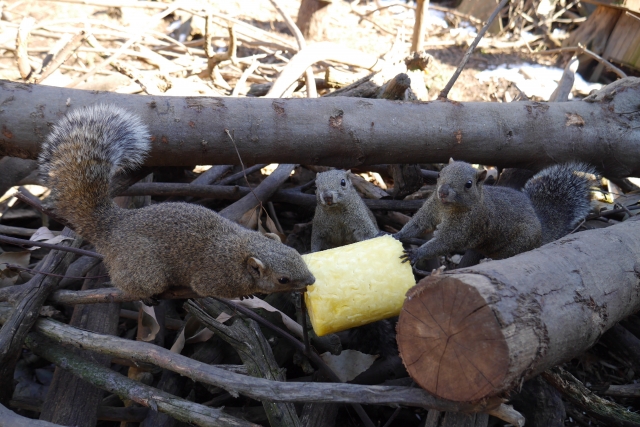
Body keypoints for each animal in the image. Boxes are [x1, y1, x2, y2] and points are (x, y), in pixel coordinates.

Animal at [38, 105, 316, 302]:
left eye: (296, 254)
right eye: (283, 279)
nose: (312, 280)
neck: (244, 248)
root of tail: (111, 225)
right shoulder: (215, 277)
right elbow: (208, 289)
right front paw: (245, 293)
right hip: (143, 269)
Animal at [396, 160, 596, 266]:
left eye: (468, 184)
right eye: (439, 174)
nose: (443, 192)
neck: (447, 207)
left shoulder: (465, 225)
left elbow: (444, 242)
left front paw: (416, 253)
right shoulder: (432, 207)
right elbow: (417, 224)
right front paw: (397, 235)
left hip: (519, 243)